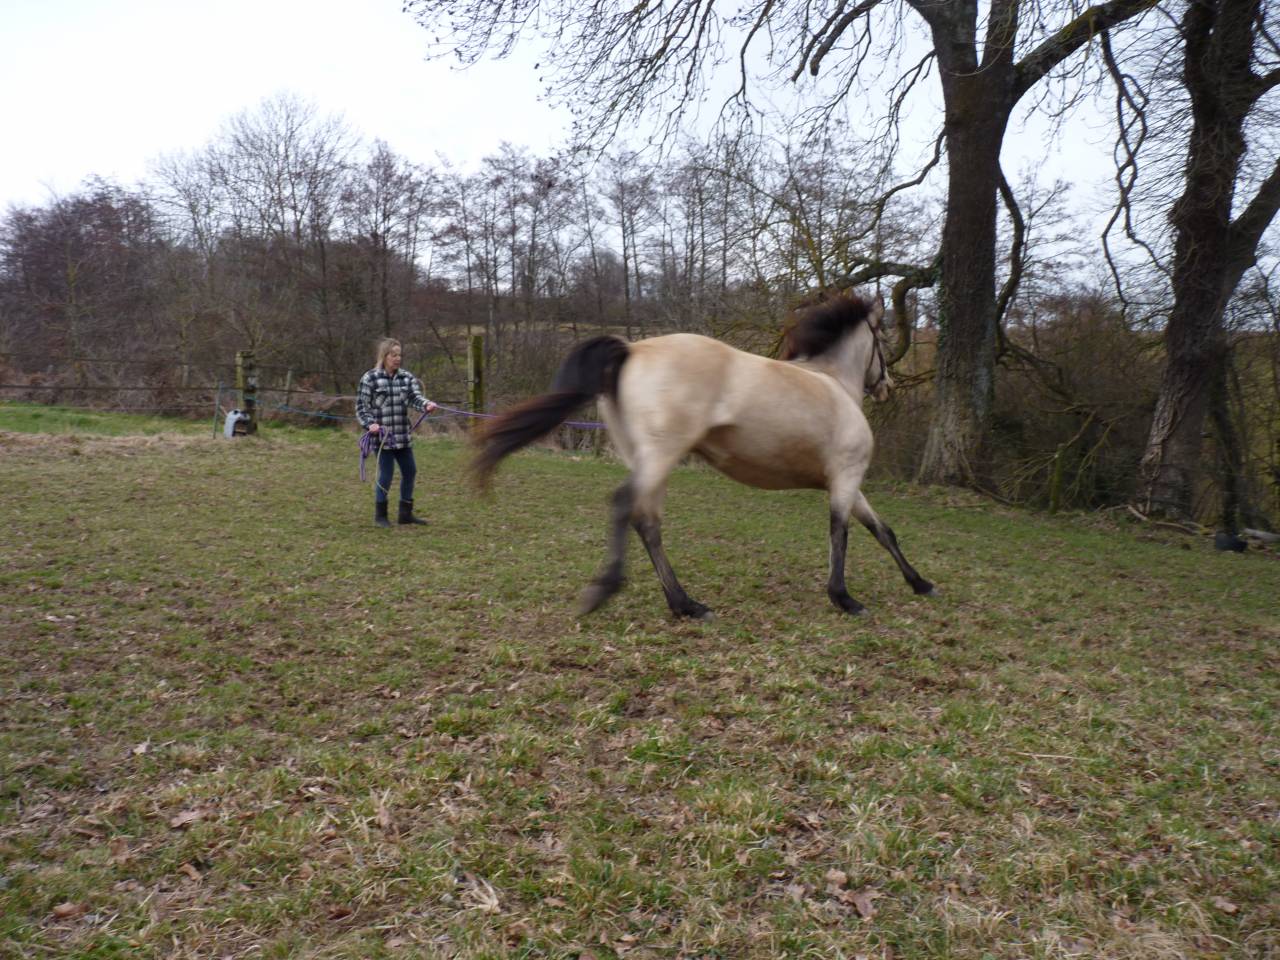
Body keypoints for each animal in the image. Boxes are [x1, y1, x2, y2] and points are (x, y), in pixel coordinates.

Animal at [472, 289, 934, 619]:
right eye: (882, 339)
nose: (887, 386)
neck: (833, 383)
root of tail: (632, 350)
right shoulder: (845, 476)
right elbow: (842, 532)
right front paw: (844, 598)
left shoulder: (845, 481)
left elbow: (883, 530)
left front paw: (920, 583)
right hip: (661, 455)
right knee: (625, 506)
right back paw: (606, 592)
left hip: (648, 459)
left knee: (647, 522)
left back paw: (685, 605)